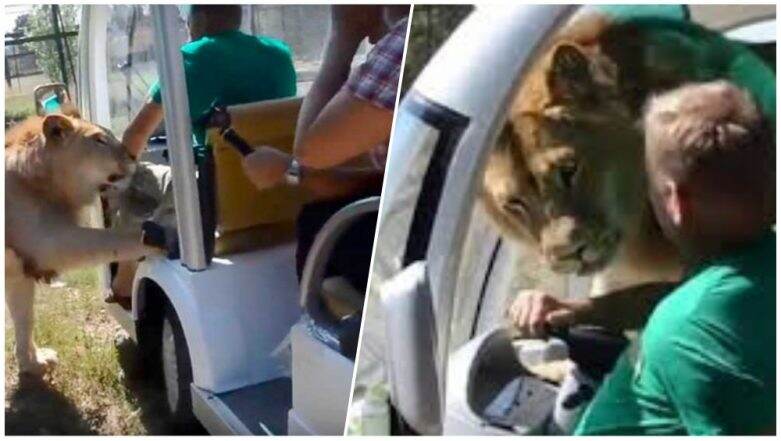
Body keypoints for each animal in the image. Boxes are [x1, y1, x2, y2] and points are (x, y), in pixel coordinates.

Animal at [4, 111, 163, 374]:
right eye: (99, 140)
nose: (133, 156)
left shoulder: (19, 270)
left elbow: (24, 318)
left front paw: (33, 363)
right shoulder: (49, 244)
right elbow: (113, 240)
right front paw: (161, 235)